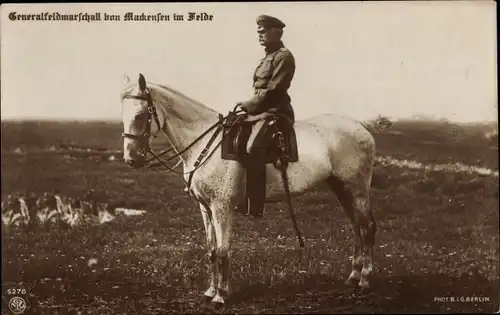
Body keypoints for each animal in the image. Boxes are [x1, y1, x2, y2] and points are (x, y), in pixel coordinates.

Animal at [119, 73, 392, 306]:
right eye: (122, 115)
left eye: (141, 115)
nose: (131, 159)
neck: (205, 144)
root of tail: (362, 128)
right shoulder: (205, 208)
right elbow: (211, 250)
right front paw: (211, 291)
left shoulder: (221, 207)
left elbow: (223, 250)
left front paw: (221, 296)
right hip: (341, 187)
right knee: (356, 227)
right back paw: (353, 276)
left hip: (357, 189)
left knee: (367, 227)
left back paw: (365, 278)